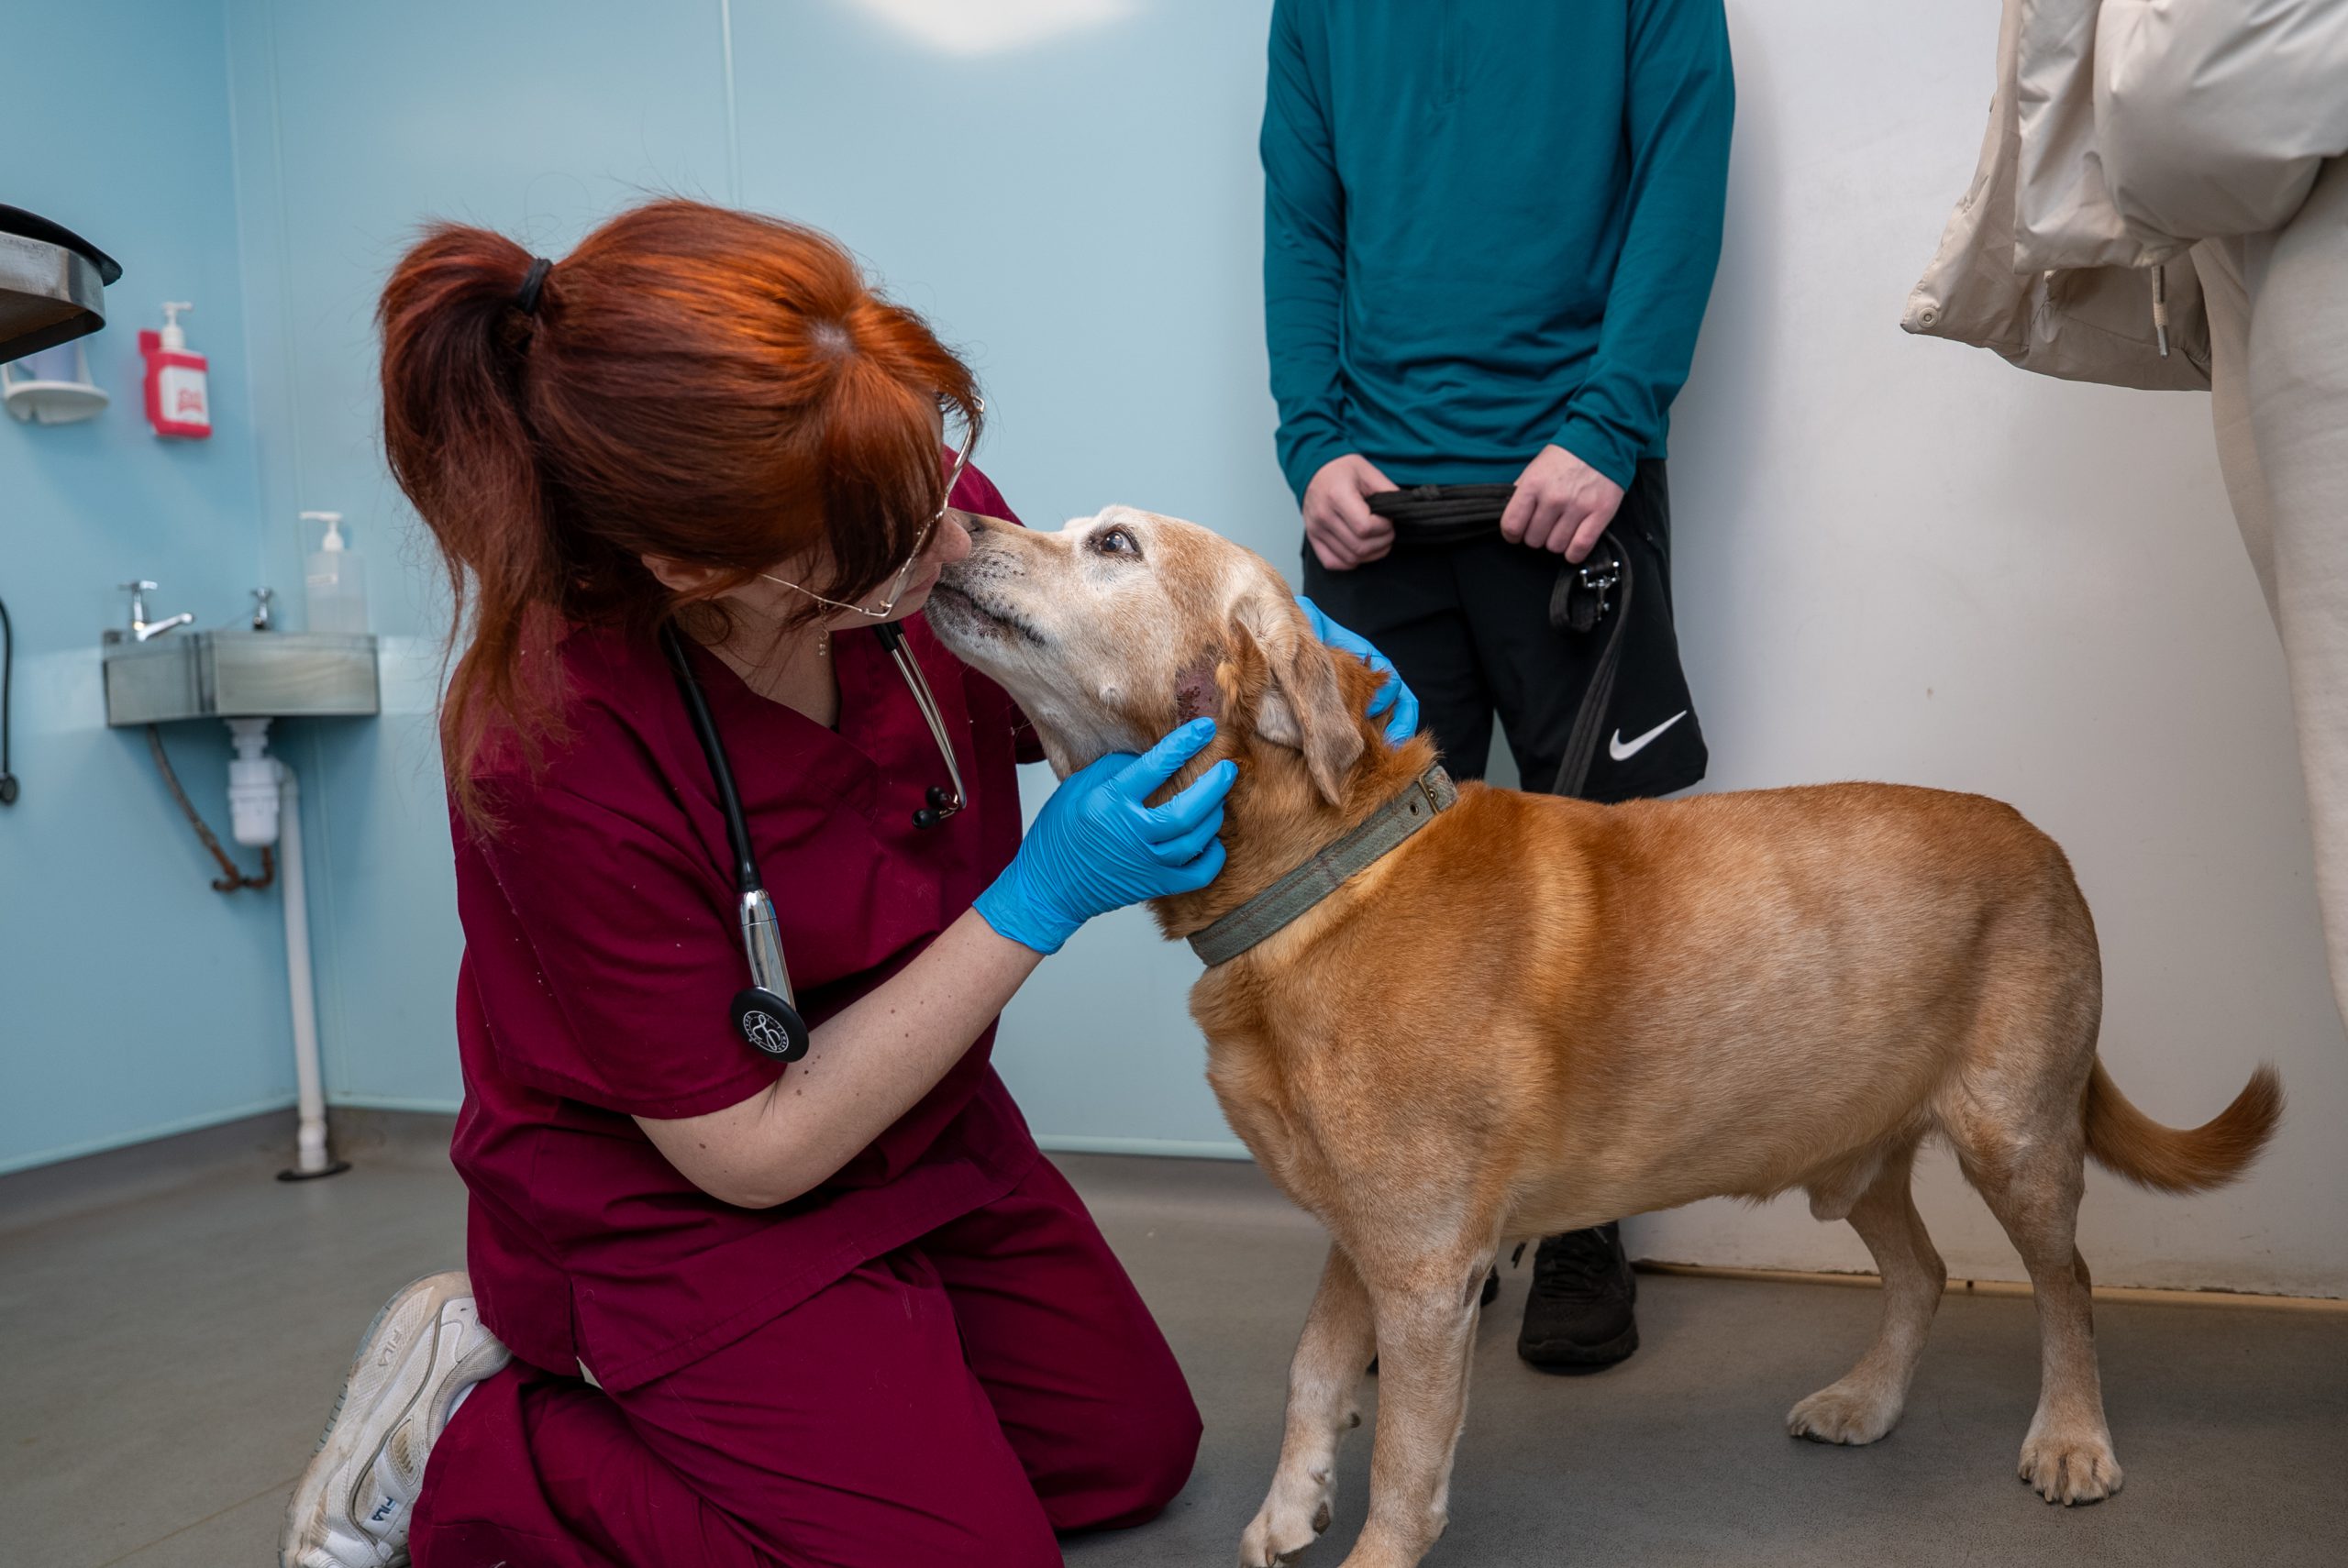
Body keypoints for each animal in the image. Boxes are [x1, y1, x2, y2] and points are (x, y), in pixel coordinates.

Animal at [924, 505, 2283, 1568]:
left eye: (1112, 542)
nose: (952, 518)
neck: (1321, 880)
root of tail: (2041, 837)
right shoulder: (1365, 1230)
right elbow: (1316, 1372)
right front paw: (1290, 1503)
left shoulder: (1424, 1268)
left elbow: (1407, 1465)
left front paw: (1363, 1532)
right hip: (1852, 1158)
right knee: (1922, 1273)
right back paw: (1870, 1399)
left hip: (2016, 1139)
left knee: (2068, 1287)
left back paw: (2073, 1437)